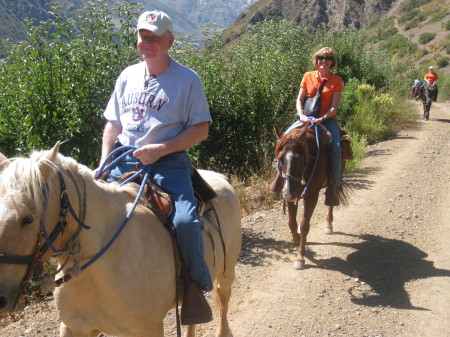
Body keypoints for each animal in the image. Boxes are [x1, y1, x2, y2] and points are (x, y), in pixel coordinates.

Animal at [0, 142, 241, 336]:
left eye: (28, 219)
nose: (0, 298)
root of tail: (220, 178)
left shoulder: (149, 329)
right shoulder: (73, 328)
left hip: (225, 275)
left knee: (222, 306)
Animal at [272, 122, 346, 270]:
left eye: (299, 159)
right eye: (280, 158)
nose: (287, 192)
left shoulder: (311, 196)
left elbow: (304, 225)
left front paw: (300, 257)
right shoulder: (291, 195)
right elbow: (292, 223)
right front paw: (296, 239)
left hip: (337, 175)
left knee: (331, 198)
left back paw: (328, 224)